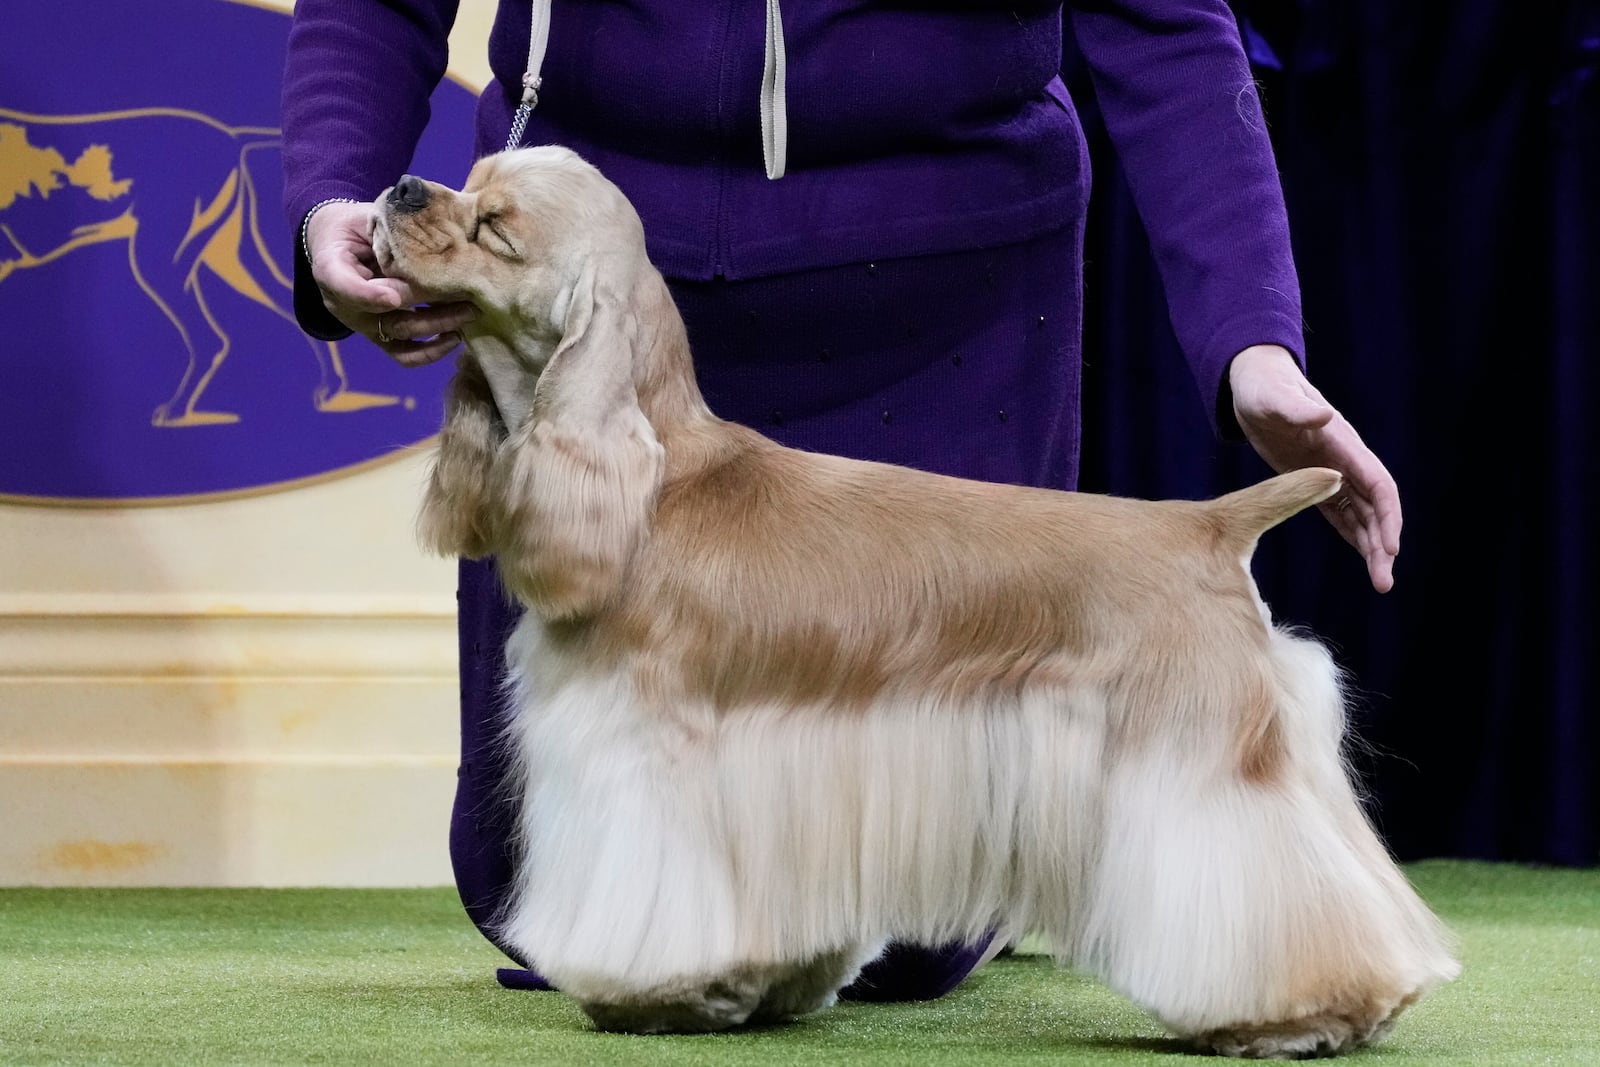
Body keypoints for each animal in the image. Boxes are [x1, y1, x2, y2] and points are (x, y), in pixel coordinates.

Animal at [368, 146, 1459, 1055]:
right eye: (471, 174)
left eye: (494, 225)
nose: (402, 187)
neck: (653, 485)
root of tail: (1207, 524)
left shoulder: (653, 747)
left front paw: (656, 995)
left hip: (1198, 760)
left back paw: (1298, 1012)